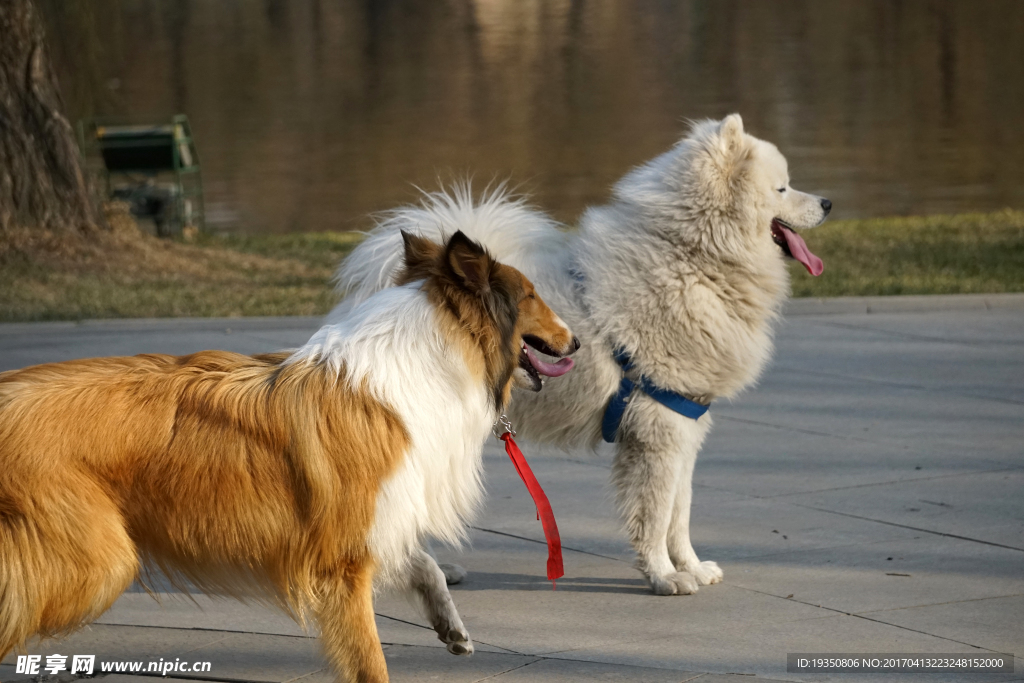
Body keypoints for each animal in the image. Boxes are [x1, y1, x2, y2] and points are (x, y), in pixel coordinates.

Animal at [0, 231, 577, 683]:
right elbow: (369, 660)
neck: (426, 359)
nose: (575, 341)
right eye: (532, 295)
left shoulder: (375, 520)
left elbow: (425, 564)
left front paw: (451, 627)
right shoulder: (343, 565)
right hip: (98, 563)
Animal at [331, 117, 827, 598]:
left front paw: (690, 567)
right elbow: (656, 514)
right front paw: (664, 577)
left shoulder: (684, 423)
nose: (827, 202)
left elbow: (679, 512)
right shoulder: (659, 431)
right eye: (782, 188)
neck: (691, 259)